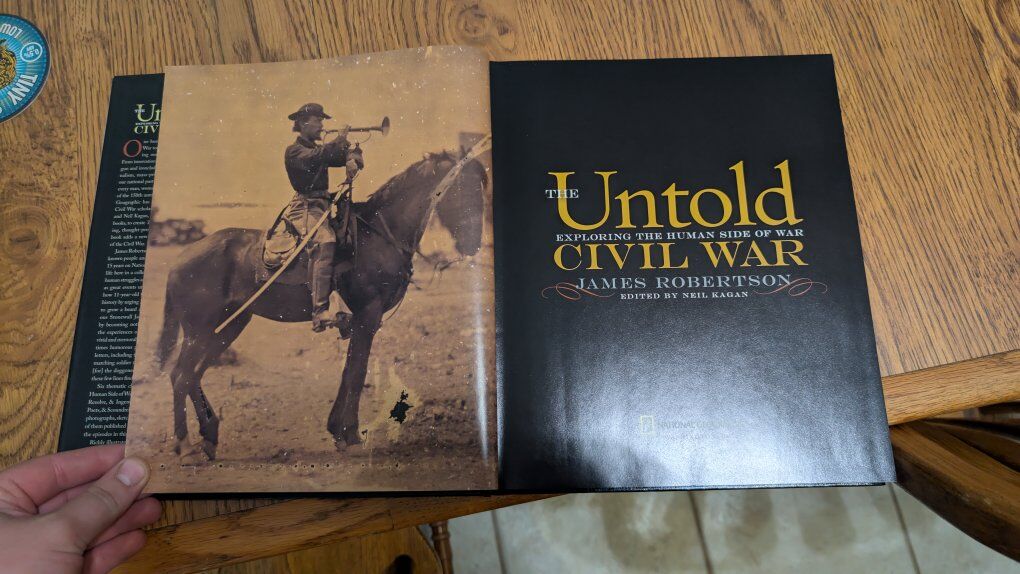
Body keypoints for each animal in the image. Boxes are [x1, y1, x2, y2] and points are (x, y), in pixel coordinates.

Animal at [149, 150, 488, 461]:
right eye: (463, 188)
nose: (473, 244)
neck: (378, 234)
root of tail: (180, 259)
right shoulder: (367, 314)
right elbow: (357, 373)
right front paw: (351, 436)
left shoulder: (361, 320)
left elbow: (350, 371)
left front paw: (339, 431)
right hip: (200, 330)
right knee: (181, 375)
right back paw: (186, 446)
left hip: (228, 326)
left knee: (193, 375)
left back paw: (209, 436)